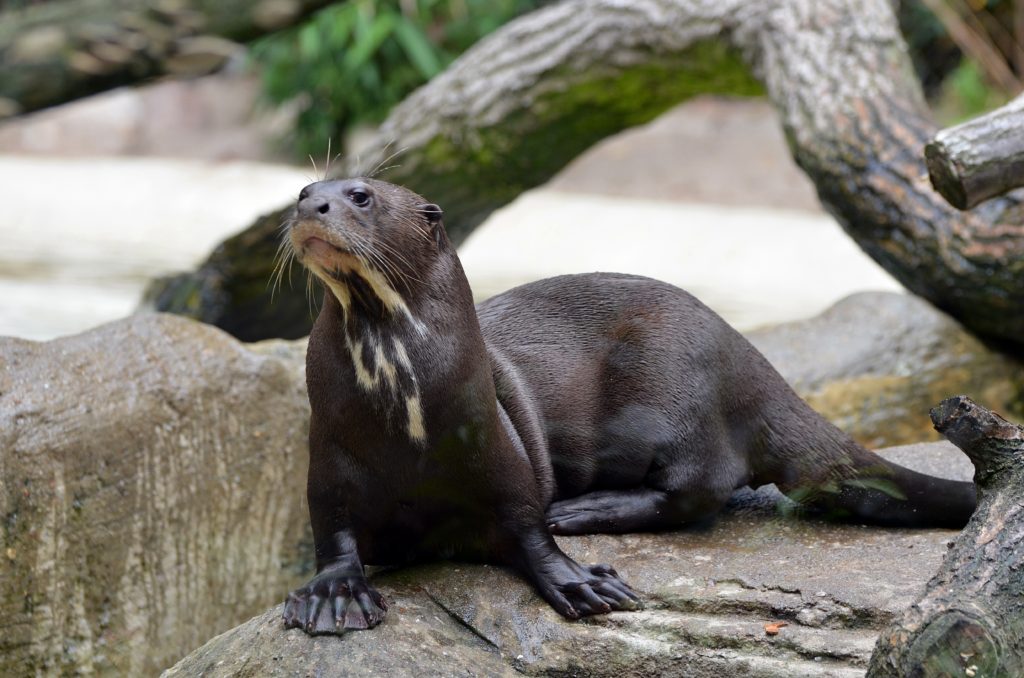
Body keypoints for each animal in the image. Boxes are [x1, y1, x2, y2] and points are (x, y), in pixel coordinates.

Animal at [282, 178, 974, 634]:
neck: (408, 420)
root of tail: (747, 356)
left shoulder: (497, 448)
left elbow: (528, 525)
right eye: (306, 187)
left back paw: (583, 509)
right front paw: (334, 595)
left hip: (671, 385)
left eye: (361, 195)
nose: (311, 204)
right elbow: (333, 532)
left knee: (701, 489)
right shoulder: (328, 460)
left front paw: (579, 579)